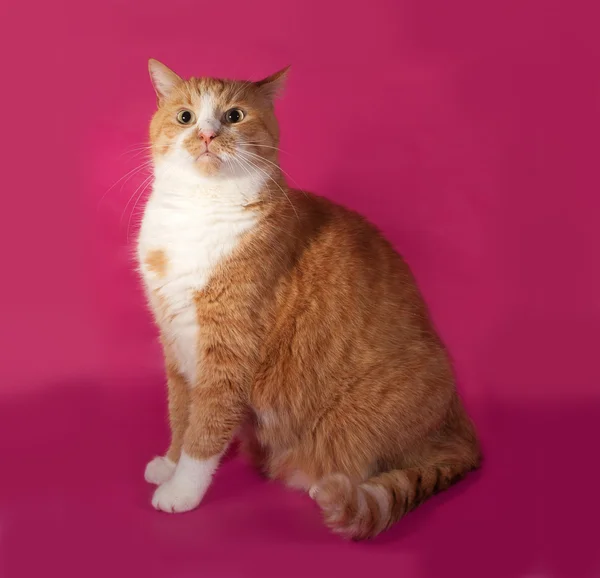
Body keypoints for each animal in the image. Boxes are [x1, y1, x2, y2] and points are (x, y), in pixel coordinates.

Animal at [137, 59, 482, 540]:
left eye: (234, 116)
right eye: (186, 117)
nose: (206, 135)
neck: (197, 211)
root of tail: (463, 431)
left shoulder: (228, 353)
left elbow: (205, 430)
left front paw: (181, 490)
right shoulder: (177, 346)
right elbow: (180, 414)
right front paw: (169, 464)